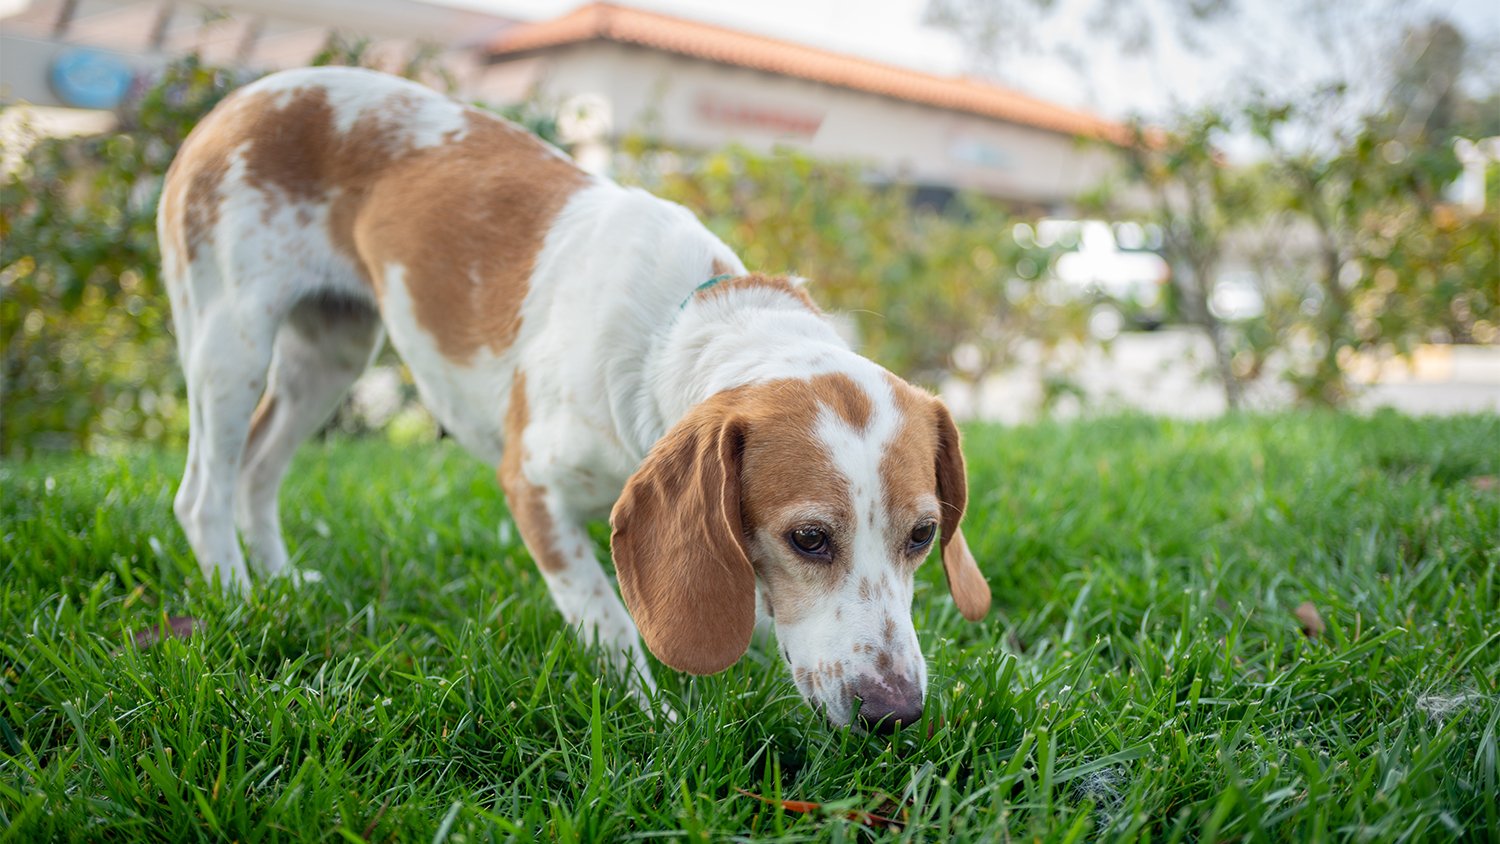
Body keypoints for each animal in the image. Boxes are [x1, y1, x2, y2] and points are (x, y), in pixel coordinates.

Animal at [158, 69, 990, 734]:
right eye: (809, 539)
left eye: (923, 535)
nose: (897, 713)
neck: (671, 334)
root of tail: (242, 97)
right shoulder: (531, 488)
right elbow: (609, 618)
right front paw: (651, 719)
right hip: (229, 343)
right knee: (202, 492)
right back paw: (238, 599)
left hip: (330, 353)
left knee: (258, 469)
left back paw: (279, 587)